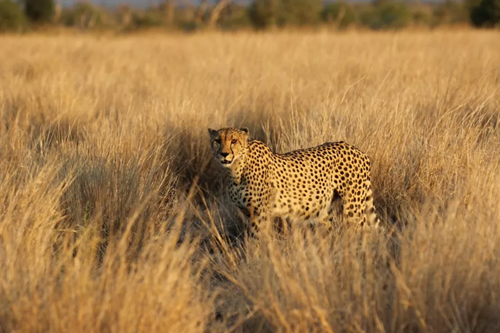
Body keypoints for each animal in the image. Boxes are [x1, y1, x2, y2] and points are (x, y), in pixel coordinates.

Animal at [208, 126, 378, 235]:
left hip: (352, 207)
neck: (237, 169)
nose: (224, 154)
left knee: (363, 231)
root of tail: (358, 150)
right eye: (217, 140)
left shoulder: (261, 215)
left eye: (234, 141)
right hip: (322, 210)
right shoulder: (250, 214)